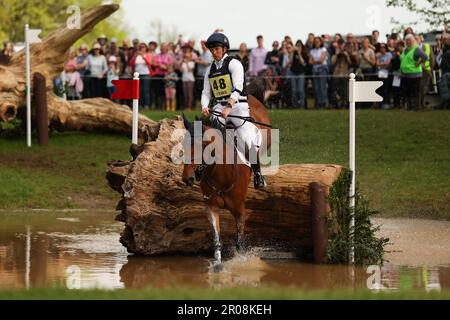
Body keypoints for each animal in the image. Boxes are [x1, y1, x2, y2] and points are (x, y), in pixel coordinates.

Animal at [182, 95, 270, 264]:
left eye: (202, 144)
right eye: (183, 144)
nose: (187, 177)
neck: (222, 175)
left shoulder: (240, 210)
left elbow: (240, 243)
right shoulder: (211, 208)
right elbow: (217, 240)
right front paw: (217, 264)